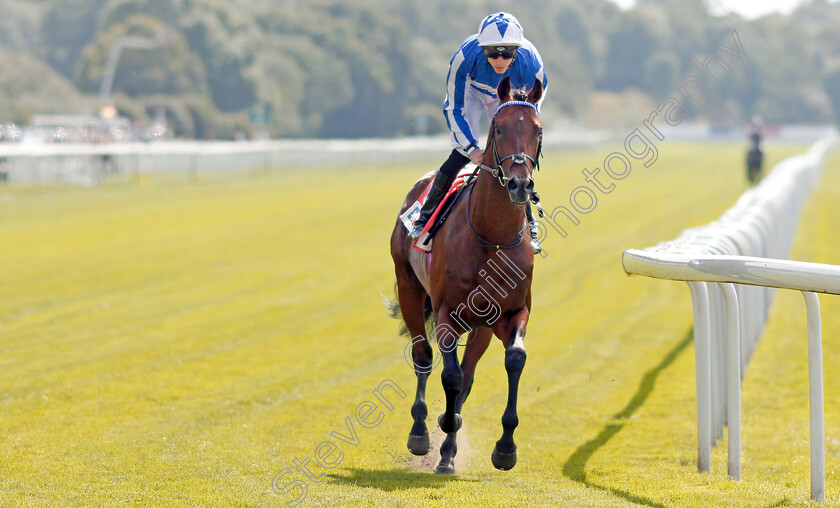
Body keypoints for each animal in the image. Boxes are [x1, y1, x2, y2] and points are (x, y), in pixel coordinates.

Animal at [388, 77, 540, 474]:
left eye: (537, 130)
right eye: (499, 128)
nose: (520, 185)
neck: (492, 236)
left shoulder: (512, 313)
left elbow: (513, 360)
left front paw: (505, 447)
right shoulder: (446, 313)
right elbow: (450, 376)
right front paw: (441, 430)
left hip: (481, 326)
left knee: (467, 374)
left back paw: (448, 445)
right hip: (409, 288)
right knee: (424, 357)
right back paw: (423, 432)